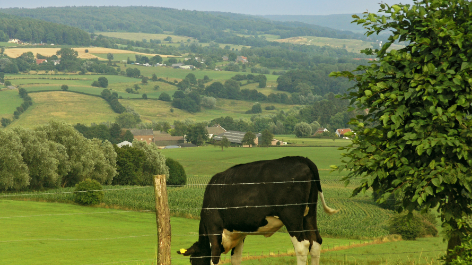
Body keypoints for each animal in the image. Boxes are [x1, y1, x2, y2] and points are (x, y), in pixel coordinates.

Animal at [178, 156, 340, 262]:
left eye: (192, 260)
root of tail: (301, 159)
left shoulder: (214, 227)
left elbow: (215, 257)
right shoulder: (239, 233)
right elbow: (236, 259)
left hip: (291, 215)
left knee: (302, 246)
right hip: (309, 214)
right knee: (315, 243)